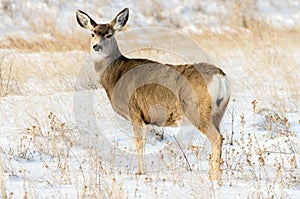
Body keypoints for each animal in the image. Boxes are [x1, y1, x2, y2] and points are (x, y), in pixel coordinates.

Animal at [76, 7, 231, 180]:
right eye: (92, 33)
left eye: (109, 34)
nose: (96, 46)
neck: (116, 76)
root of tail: (220, 76)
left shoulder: (135, 111)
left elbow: (139, 143)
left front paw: (140, 172)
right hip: (219, 112)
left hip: (196, 109)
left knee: (216, 137)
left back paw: (213, 177)